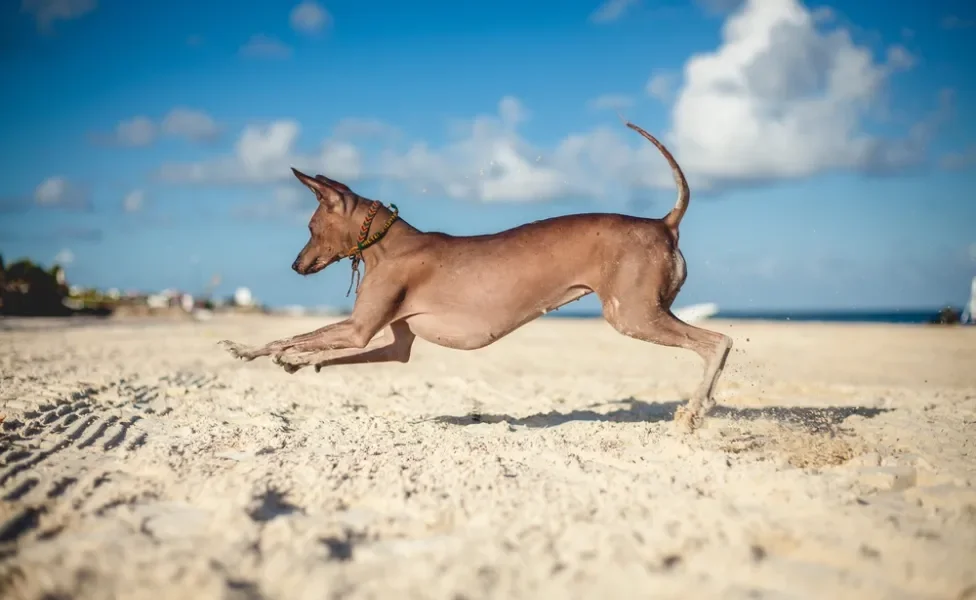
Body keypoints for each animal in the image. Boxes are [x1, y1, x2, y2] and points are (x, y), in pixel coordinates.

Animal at [219, 122, 732, 432]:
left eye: (309, 228)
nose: (295, 265)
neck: (391, 242)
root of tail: (663, 222)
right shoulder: (391, 343)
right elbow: (325, 349)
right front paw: (301, 362)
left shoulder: (358, 328)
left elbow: (289, 336)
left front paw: (252, 350)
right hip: (642, 313)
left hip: (632, 315)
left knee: (719, 342)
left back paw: (694, 412)